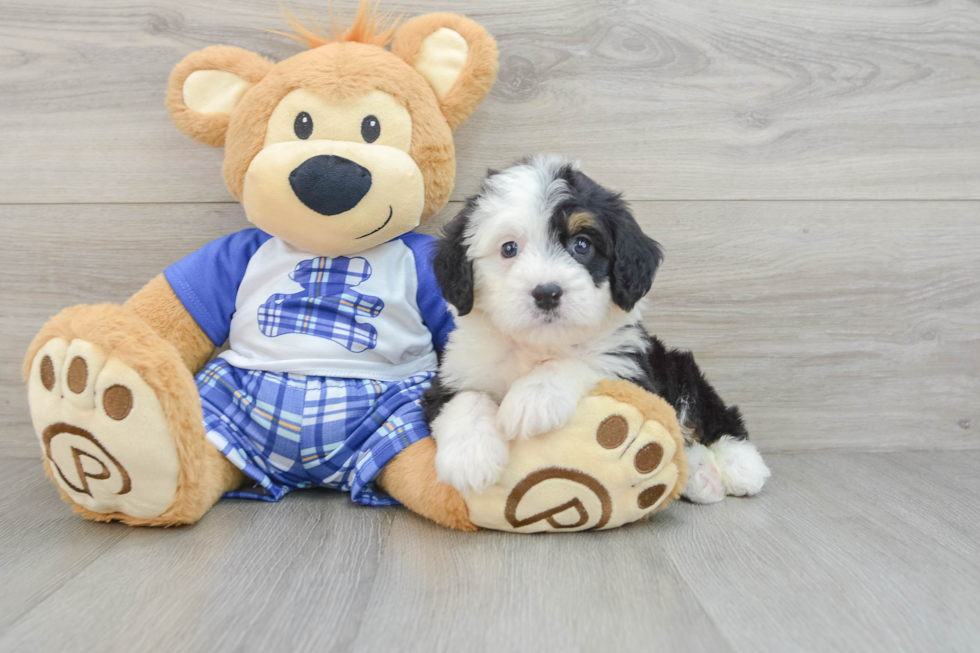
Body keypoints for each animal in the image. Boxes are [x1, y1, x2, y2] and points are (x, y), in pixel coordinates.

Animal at [424, 155, 768, 502]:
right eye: (509, 248)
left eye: (581, 244)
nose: (547, 292)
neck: (539, 346)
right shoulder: (453, 374)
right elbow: (465, 399)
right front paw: (470, 457)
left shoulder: (631, 369)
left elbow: (583, 360)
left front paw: (533, 399)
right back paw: (702, 476)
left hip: (678, 367)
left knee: (713, 416)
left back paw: (741, 465)